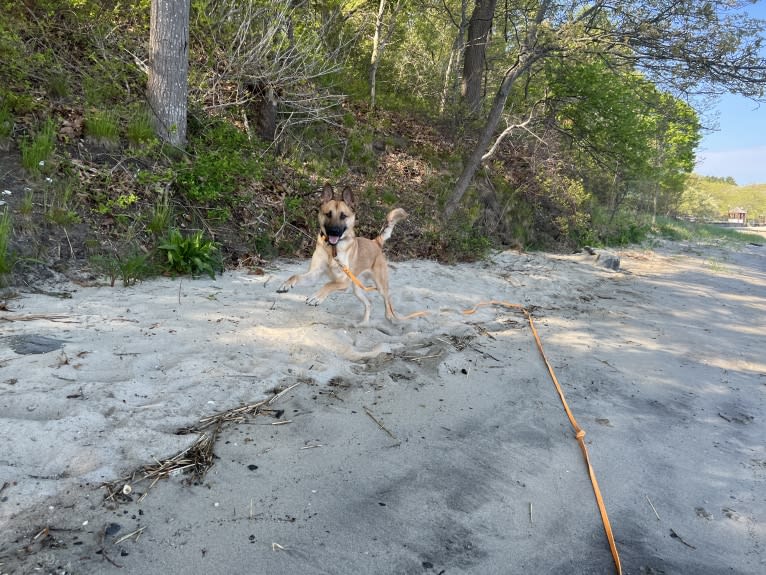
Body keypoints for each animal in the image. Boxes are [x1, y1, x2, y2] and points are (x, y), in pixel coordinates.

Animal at [276, 182, 408, 322]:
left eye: (343, 216)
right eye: (328, 214)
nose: (334, 231)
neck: (332, 249)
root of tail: (375, 242)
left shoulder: (343, 281)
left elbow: (328, 284)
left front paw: (316, 297)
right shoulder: (314, 274)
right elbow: (295, 276)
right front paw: (286, 284)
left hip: (380, 286)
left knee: (388, 300)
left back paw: (390, 317)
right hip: (357, 289)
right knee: (368, 303)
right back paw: (363, 323)